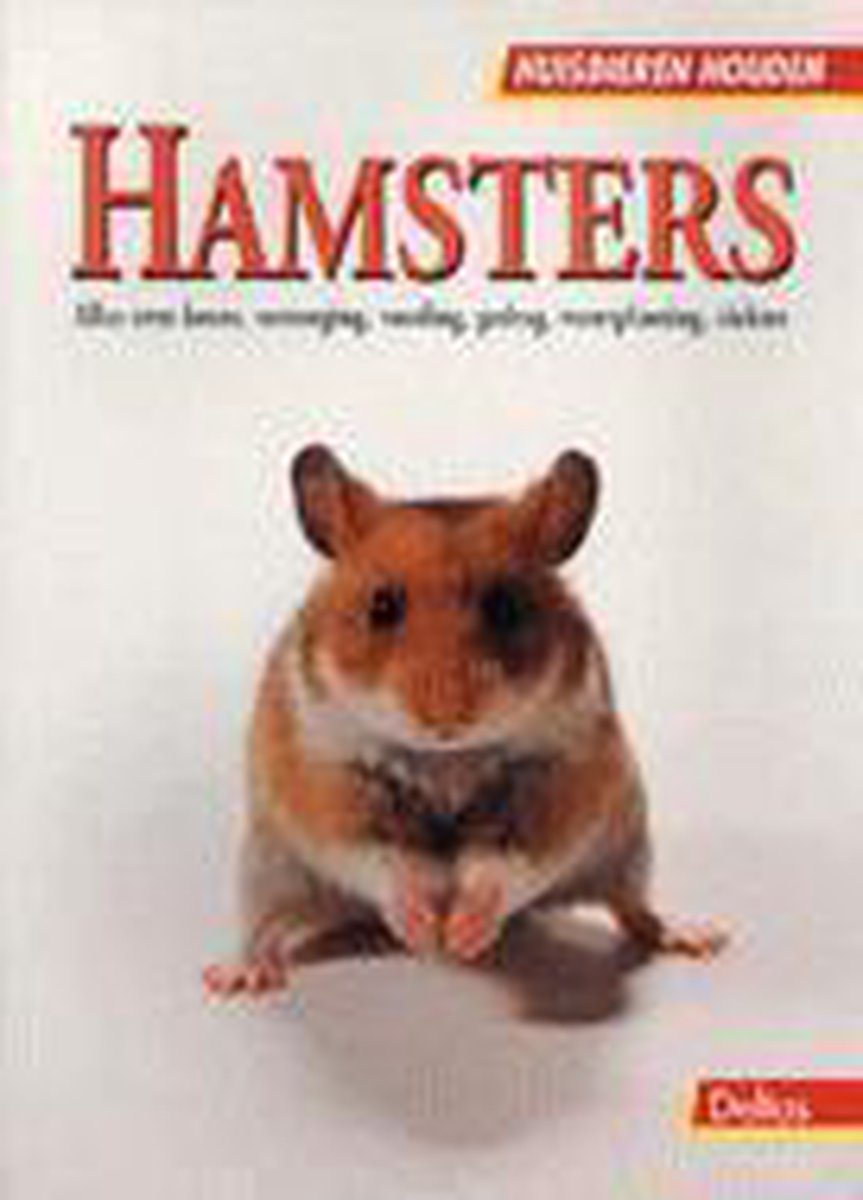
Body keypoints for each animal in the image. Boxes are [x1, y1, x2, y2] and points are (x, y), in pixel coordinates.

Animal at [203, 445, 727, 998]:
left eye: (505, 607)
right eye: (382, 605)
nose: (446, 721)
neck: (445, 759)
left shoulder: (558, 779)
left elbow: (504, 870)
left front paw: (458, 939)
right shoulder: (326, 783)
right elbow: (383, 864)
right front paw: (425, 935)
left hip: (627, 846)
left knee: (635, 910)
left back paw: (700, 937)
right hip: (266, 867)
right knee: (263, 927)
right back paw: (238, 977)